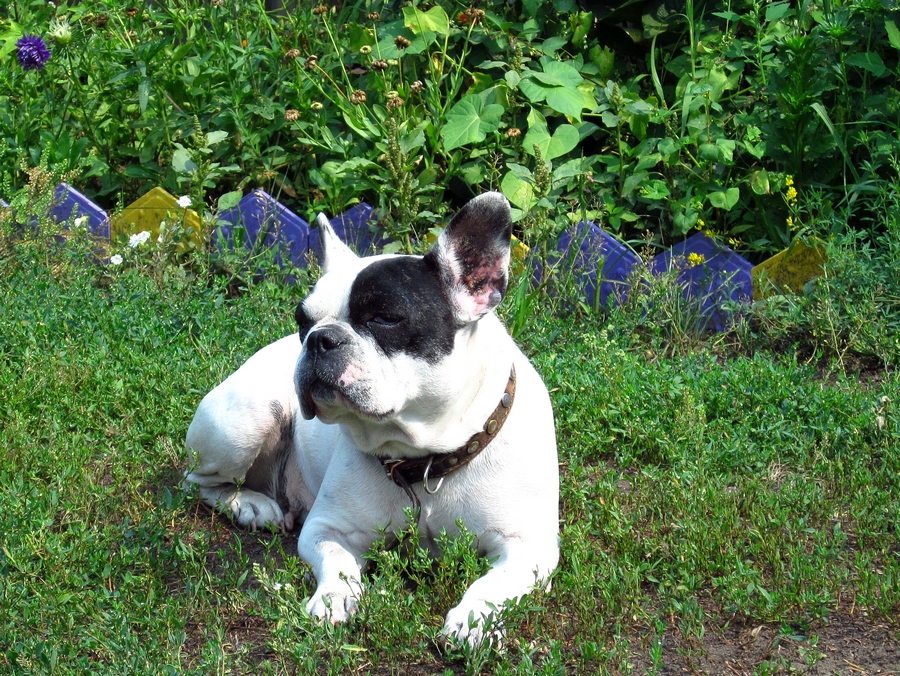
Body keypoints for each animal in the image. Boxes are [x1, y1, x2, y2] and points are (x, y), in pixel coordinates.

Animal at [186, 193, 560, 648]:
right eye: (302, 321)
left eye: (384, 317)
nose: (319, 338)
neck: (425, 457)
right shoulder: (326, 528)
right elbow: (336, 562)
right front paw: (334, 597)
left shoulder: (528, 546)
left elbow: (494, 583)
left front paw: (473, 619)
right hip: (246, 420)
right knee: (201, 482)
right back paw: (251, 505)